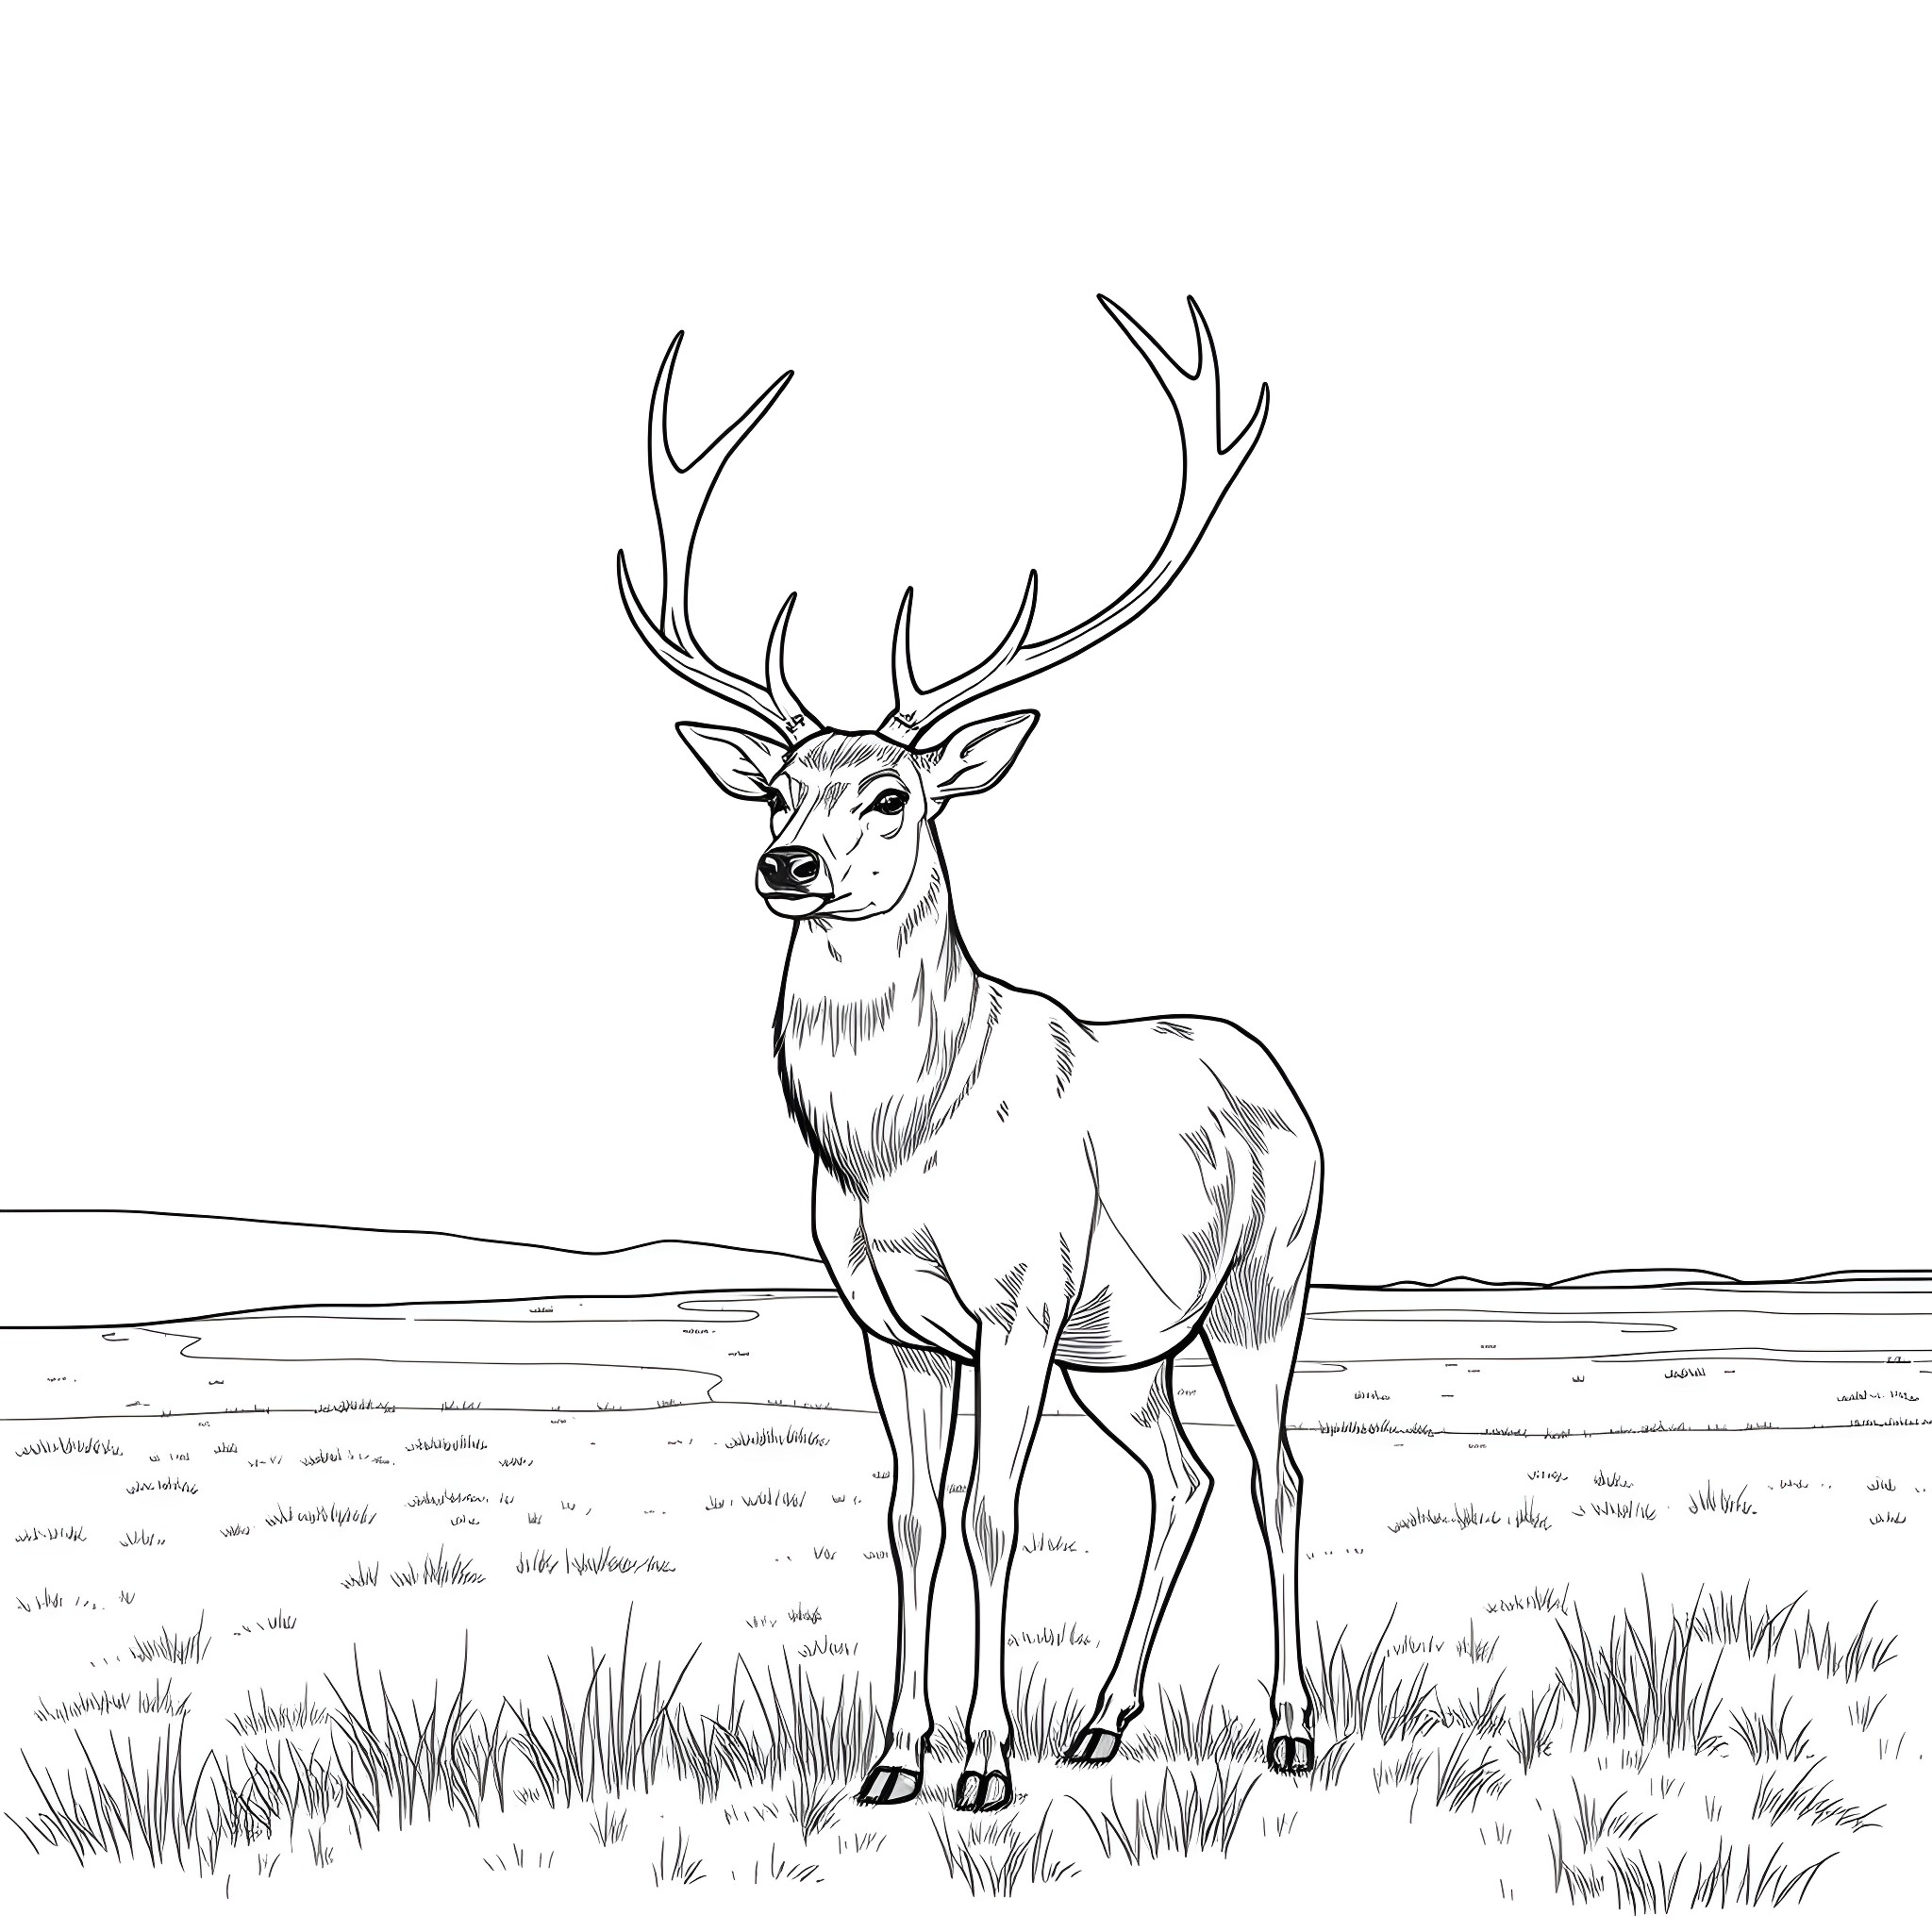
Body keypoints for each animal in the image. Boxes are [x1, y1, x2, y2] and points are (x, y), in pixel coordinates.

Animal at [618, 296, 1322, 1813]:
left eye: (894, 793)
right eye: (775, 788)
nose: (788, 864)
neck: (893, 1144)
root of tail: (1276, 1077)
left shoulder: (1016, 1301)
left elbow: (995, 1510)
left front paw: (985, 1761)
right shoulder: (891, 1322)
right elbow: (907, 1515)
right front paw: (894, 1756)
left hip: (1261, 1287)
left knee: (1277, 1472)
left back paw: (1291, 1727)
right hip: (1124, 1349)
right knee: (1179, 1476)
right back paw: (1106, 1720)